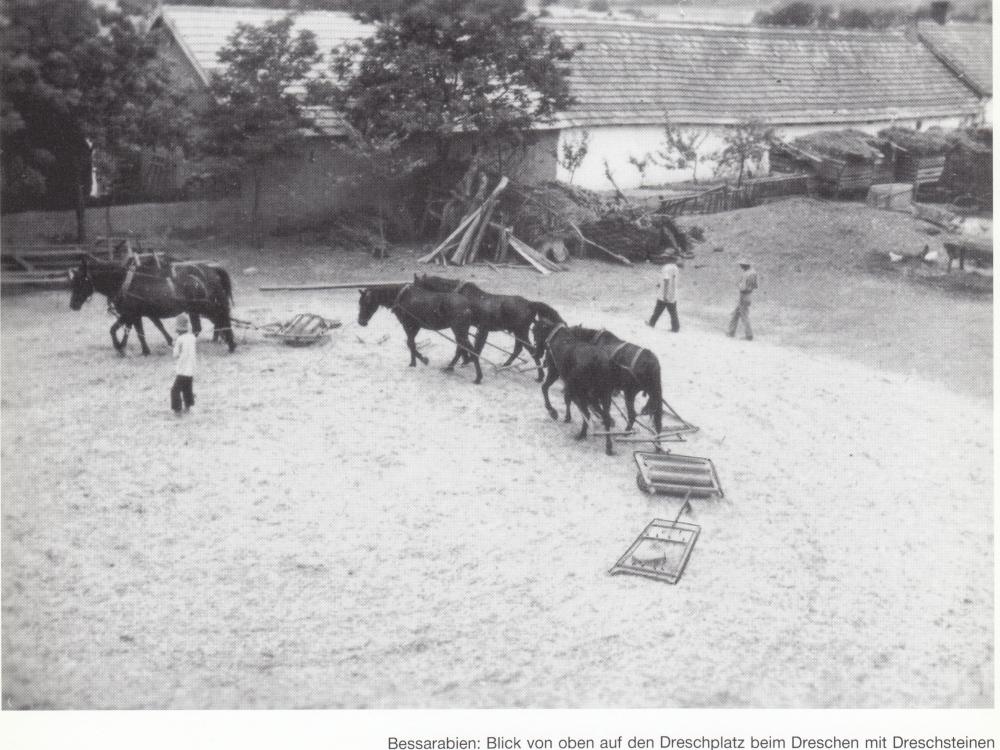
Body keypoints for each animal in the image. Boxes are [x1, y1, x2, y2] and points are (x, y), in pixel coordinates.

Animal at [68, 256, 236, 356]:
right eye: (73, 281)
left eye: (81, 280)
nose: (73, 305)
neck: (124, 282)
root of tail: (211, 270)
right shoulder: (134, 315)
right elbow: (133, 330)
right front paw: (129, 348)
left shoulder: (131, 313)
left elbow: (120, 330)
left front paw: (122, 347)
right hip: (194, 309)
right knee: (202, 326)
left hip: (204, 307)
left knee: (220, 318)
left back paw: (230, 344)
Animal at [356, 284, 484, 384]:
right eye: (359, 303)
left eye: (366, 302)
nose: (361, 322)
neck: (402, 297)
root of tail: (467, 306)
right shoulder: (414, 327)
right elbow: (411, 343)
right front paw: (413, 362)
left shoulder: (409, 326)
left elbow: (410, 344)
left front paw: (423, 359)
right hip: (460, 332)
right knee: (461, 348)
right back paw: (450, 367)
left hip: (459, 331)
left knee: (469, 350)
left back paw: (478, 377)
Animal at [412, 274, 564, 382]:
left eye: (416, 286)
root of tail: (530, 304)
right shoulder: (474, 329)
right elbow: (469, 347)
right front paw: (467, 360)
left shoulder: (471, 328)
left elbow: (465, 347)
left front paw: (458, 364)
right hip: (518, 332)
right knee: (518, 349)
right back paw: (506, 365)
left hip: (521, 332)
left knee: (531, 350)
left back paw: (539, 376)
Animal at [532, 314, 616, 456]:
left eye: (535, 331)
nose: (534, 353)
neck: (557, 336)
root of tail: (597, 361)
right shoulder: (569, 385)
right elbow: (567, 399)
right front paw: (567, 417)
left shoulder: (555, 372)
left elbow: (545, 388)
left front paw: (552, 411)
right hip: (604, 395)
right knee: (605, 417)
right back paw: (608, 446)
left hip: (583, 393)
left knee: (587, 413)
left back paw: (582, 434)